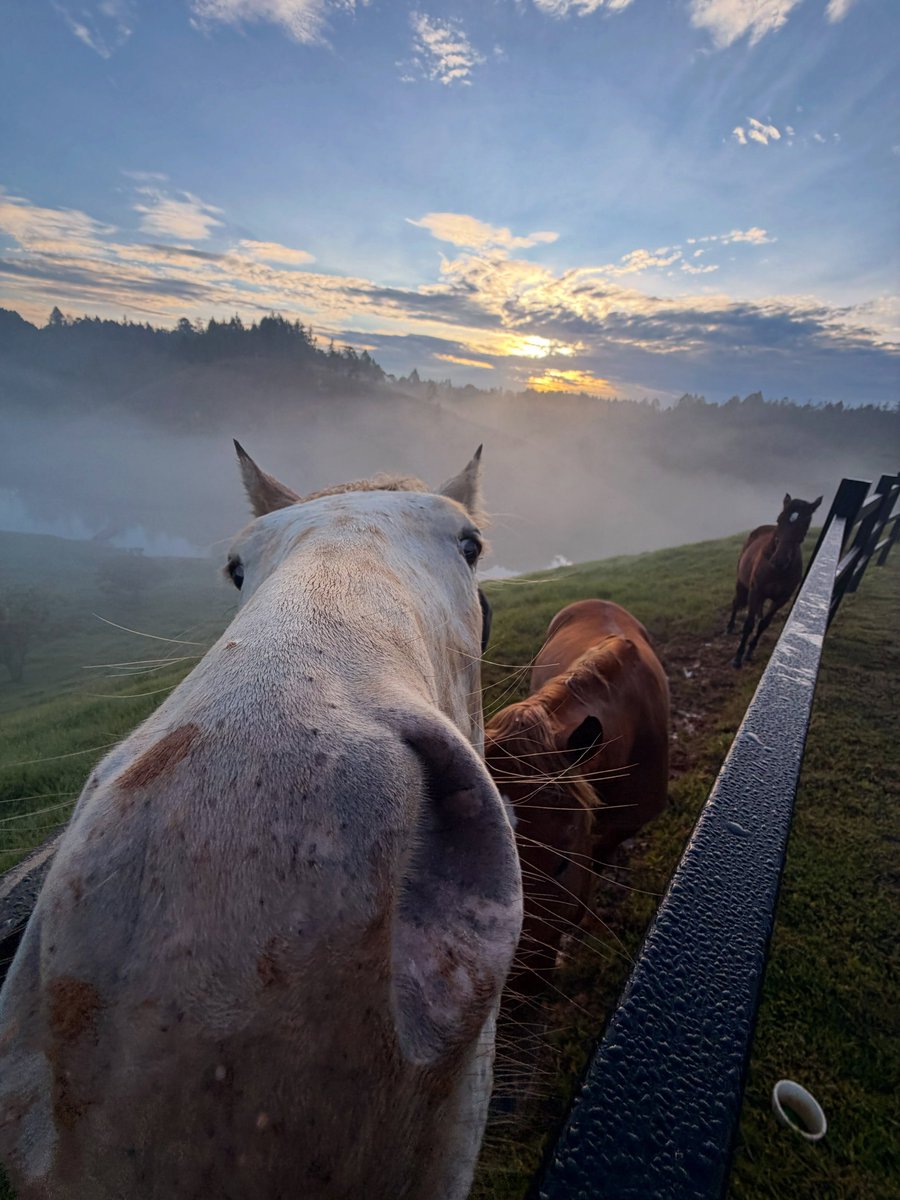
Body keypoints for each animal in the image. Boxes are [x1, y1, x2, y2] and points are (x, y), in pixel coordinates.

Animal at [728, 493, 822, 668]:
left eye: (805, 524)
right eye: (779, 520)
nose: (779, 560)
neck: (776, 572)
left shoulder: (781, 599)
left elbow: (764, 623)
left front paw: (750, 651)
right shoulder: (755, 592)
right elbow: (749, 624)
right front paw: (737, 657)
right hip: (742, 583)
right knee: (736, 602)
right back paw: (729, 627)